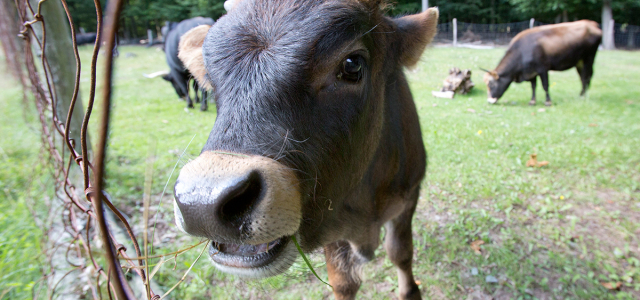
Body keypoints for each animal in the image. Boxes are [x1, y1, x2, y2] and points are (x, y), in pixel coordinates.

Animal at [172, 1, 438, 298]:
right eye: (209, 76)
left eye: (352, 64)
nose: (201, 204)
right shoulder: (330, 221)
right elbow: (343, 281)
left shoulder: (409, 196)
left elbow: (400, 253)